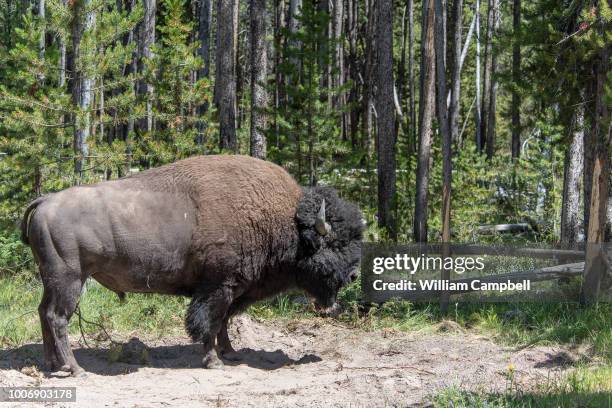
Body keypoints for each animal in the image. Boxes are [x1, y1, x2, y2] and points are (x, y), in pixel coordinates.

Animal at [21, 155, 364, 374]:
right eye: (333, 244)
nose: (353, 275)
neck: (284, 220)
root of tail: (45, 201)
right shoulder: (217, 287)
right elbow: (208, 324)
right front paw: (214, 361)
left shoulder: (232, 289)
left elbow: (223, 322)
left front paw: (231, 353)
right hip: (70, 279)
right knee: (57, 317)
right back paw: (75, 368)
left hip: (52, 279)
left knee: (43, 312)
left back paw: (53, 365)